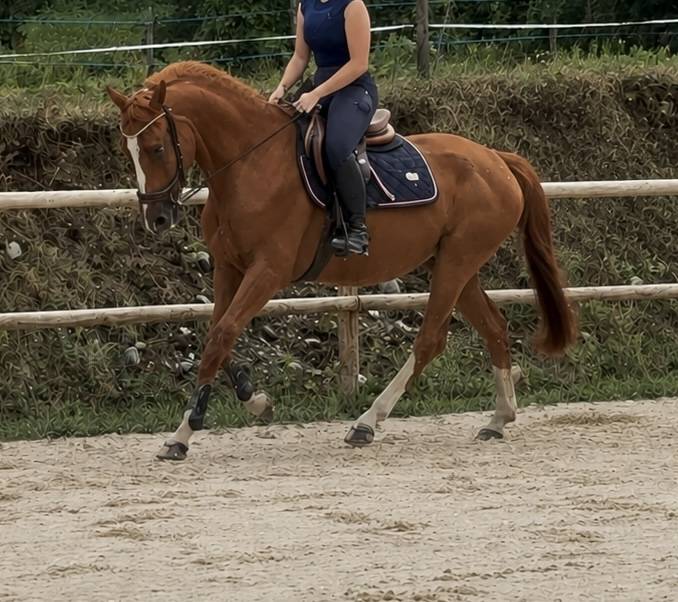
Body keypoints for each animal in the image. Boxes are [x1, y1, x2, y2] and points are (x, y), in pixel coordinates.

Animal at [107, 61, 577, 461]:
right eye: (127, 150)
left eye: (155, 147)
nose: (157, 217)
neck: (251, 164)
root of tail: (496, 159)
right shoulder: (229, 268)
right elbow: (217, 338)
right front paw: (254, 401)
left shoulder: (267, 272)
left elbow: (221, 336)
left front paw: (183, 434)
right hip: (455, 266)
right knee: (494, 328)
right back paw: (499, 419)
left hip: (456, 264)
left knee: (430, 340)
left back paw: (367, 423)